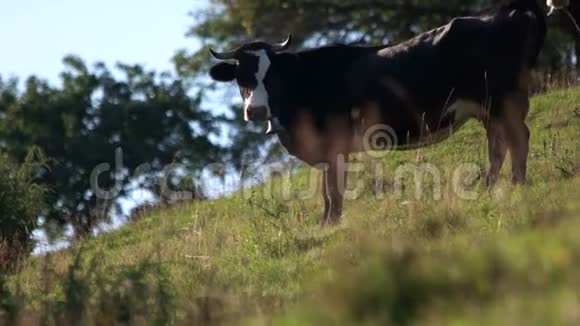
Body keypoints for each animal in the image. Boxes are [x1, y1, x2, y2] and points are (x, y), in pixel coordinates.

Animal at [207, 0, 548, 224]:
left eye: (272, 75)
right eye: (241, 77)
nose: (255, 110)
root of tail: (510, 10)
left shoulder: (334, 145)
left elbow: (333, 190)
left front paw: (331, 224)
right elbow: (327, 188)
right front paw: (327, 222)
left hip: (503, 99)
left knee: (518, 138)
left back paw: (517, 184)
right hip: (490, 108)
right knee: (499, 145)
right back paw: (490, 187)